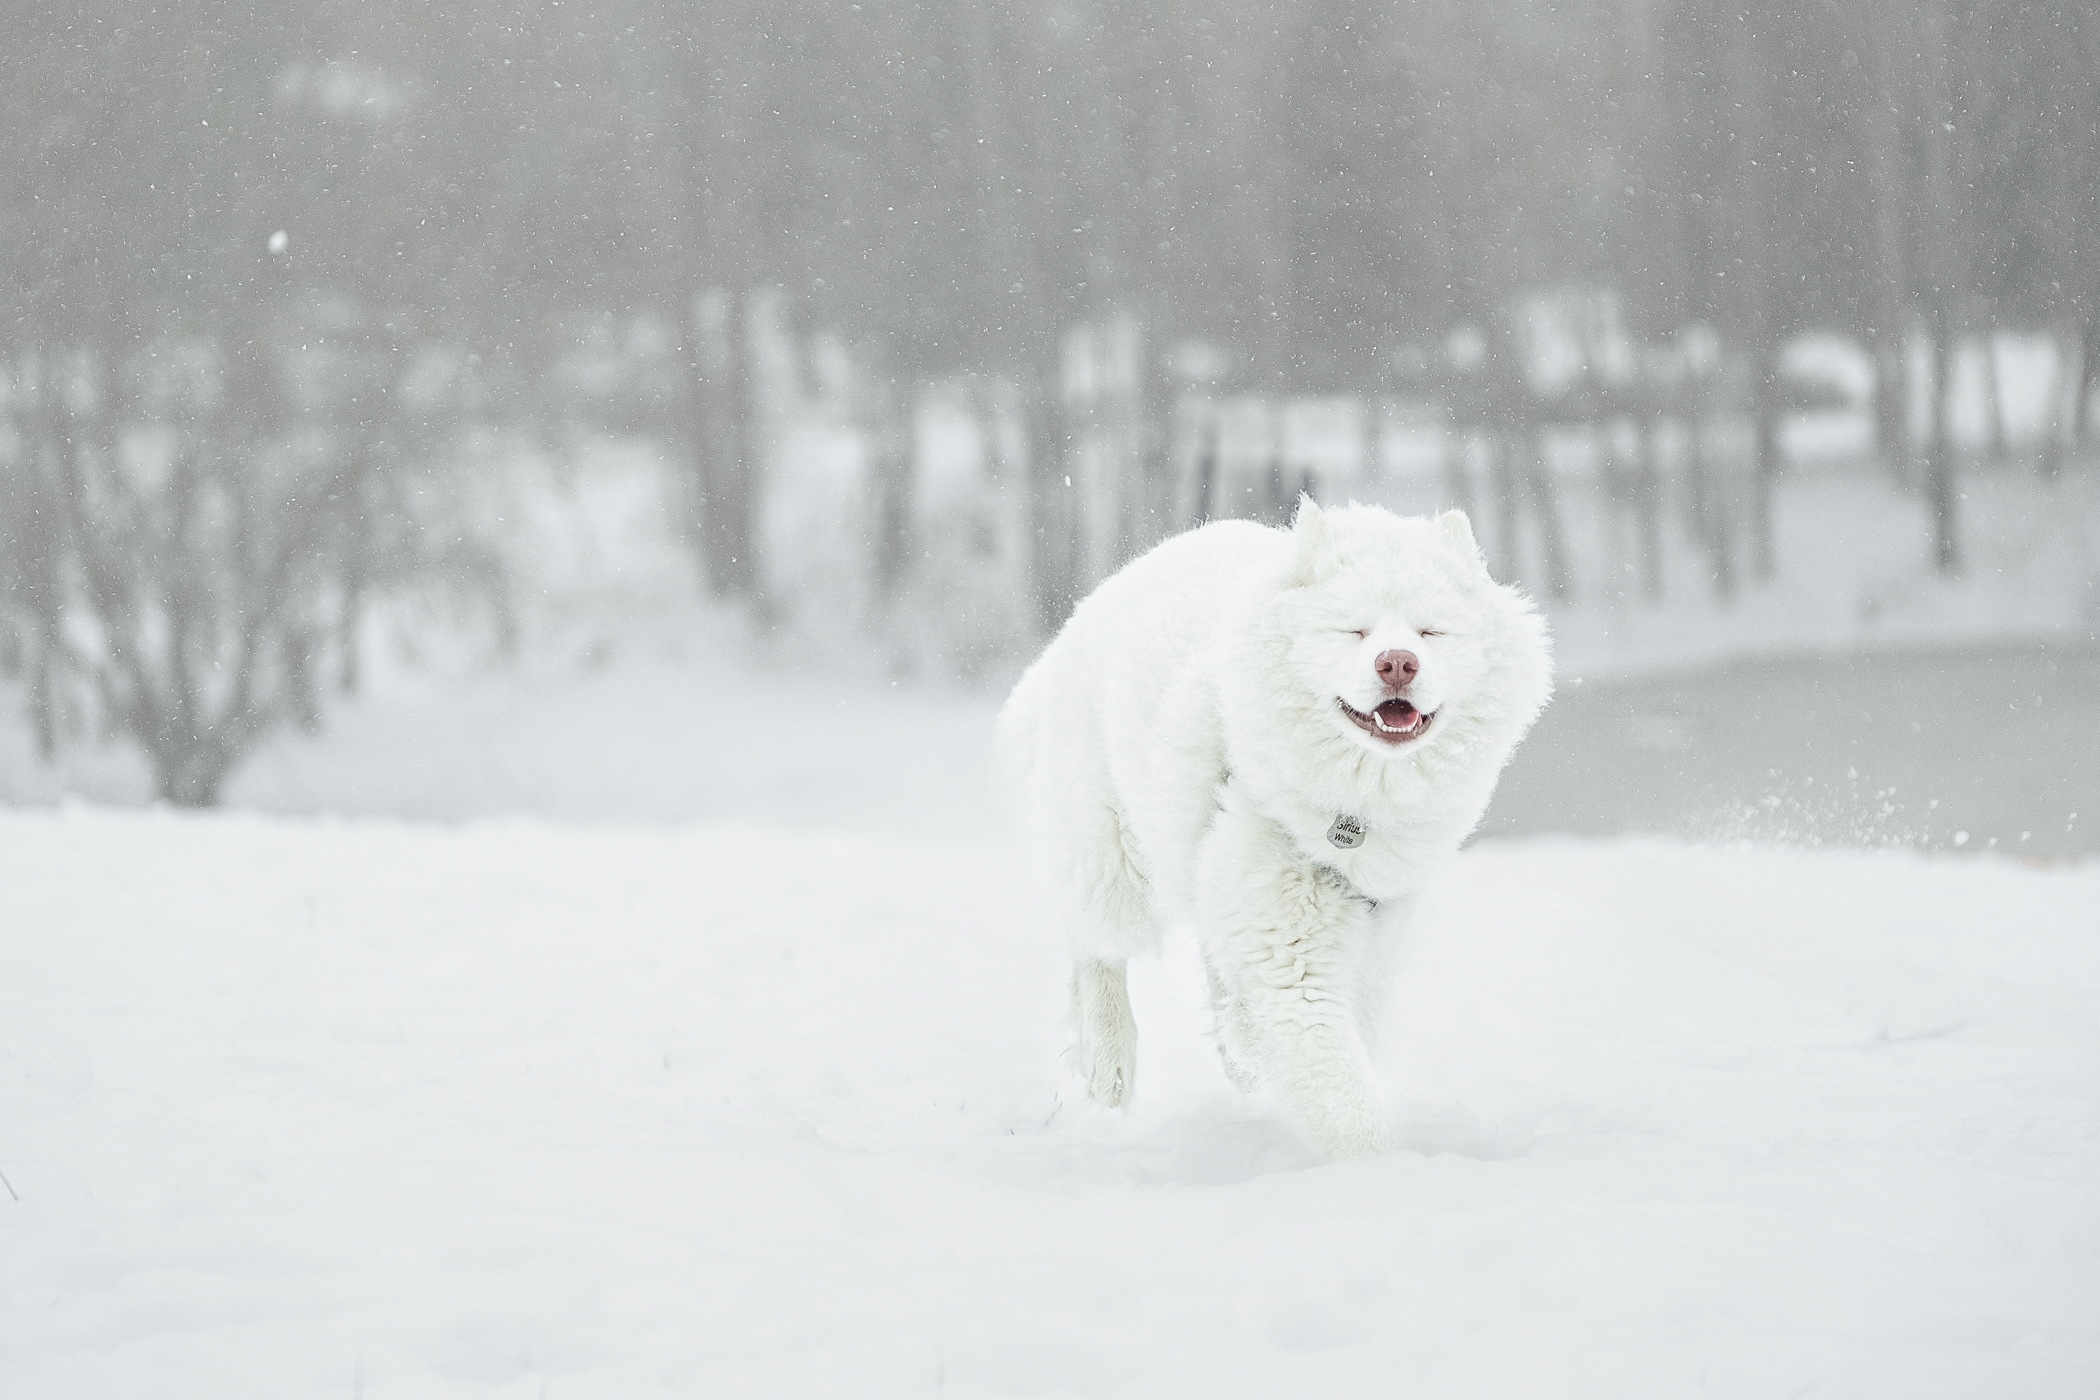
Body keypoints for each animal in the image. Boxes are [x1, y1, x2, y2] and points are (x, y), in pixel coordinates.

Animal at [991, 503, 1553, 1158]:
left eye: (1430, 633)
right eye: (1354, 631)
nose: (1397, 663)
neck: (1357, 802)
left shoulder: (1370, 934)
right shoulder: (1291, 963)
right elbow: (1349, 1103)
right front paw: (1384, 1169)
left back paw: (1234, 1048)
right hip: (1112, 860)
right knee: (1094, 949)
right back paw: (1111, 1064)